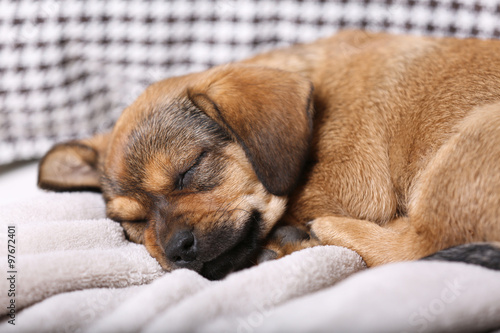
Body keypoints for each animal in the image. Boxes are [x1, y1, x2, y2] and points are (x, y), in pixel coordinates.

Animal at [37, 31, 500, 278]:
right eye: (131, 222)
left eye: (190, 170)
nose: (176, 250)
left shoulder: (352, 184)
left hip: (470, 140)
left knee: (418, 245)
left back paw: (320, 232)